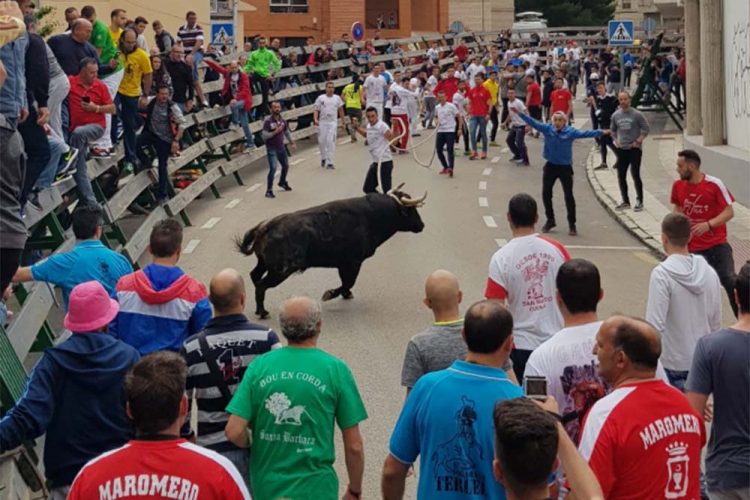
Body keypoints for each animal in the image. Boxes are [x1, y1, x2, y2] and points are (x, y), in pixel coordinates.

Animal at [238, 186, 426, 318]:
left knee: (254, 276)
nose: (422, 225)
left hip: (264, 264)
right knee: (262, 285)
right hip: (280, 270)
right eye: (411, 210)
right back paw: (263, 312)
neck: (371, 215)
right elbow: (349, 282)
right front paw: (330, 294)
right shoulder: (353, 262)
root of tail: (266, 227)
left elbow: (346, 282)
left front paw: (345, 294)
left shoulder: (343, 264)